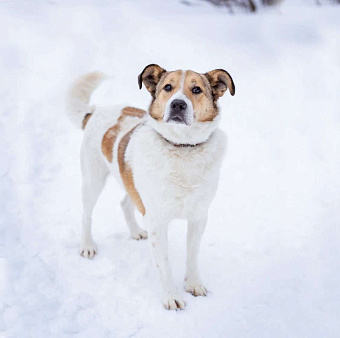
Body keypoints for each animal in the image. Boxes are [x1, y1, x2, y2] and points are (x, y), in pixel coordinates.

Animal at [66, 64, 236, 310]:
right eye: (168, 87)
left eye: (196, 89)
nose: (178, 104)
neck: (182, 147)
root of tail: (94, 112)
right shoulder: (157, 221)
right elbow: (164, 263)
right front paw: (171, 297)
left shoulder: (198, 217)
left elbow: (192, 254)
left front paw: (193, 283)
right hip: (93, 179)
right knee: (86, 215)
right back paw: (87, 245)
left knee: (125, 203)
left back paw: (135, 231)